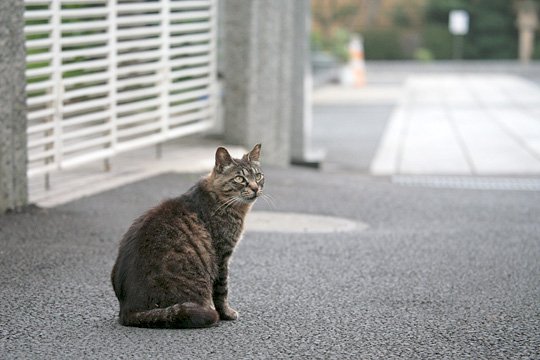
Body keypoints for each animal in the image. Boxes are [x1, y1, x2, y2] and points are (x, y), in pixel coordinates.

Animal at [110, 142, 262, 328]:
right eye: (239, 179)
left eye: (258, 176)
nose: (255, 188)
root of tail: (127, 310)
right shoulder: (222, 256)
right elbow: (222, 290)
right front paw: (227, 313)